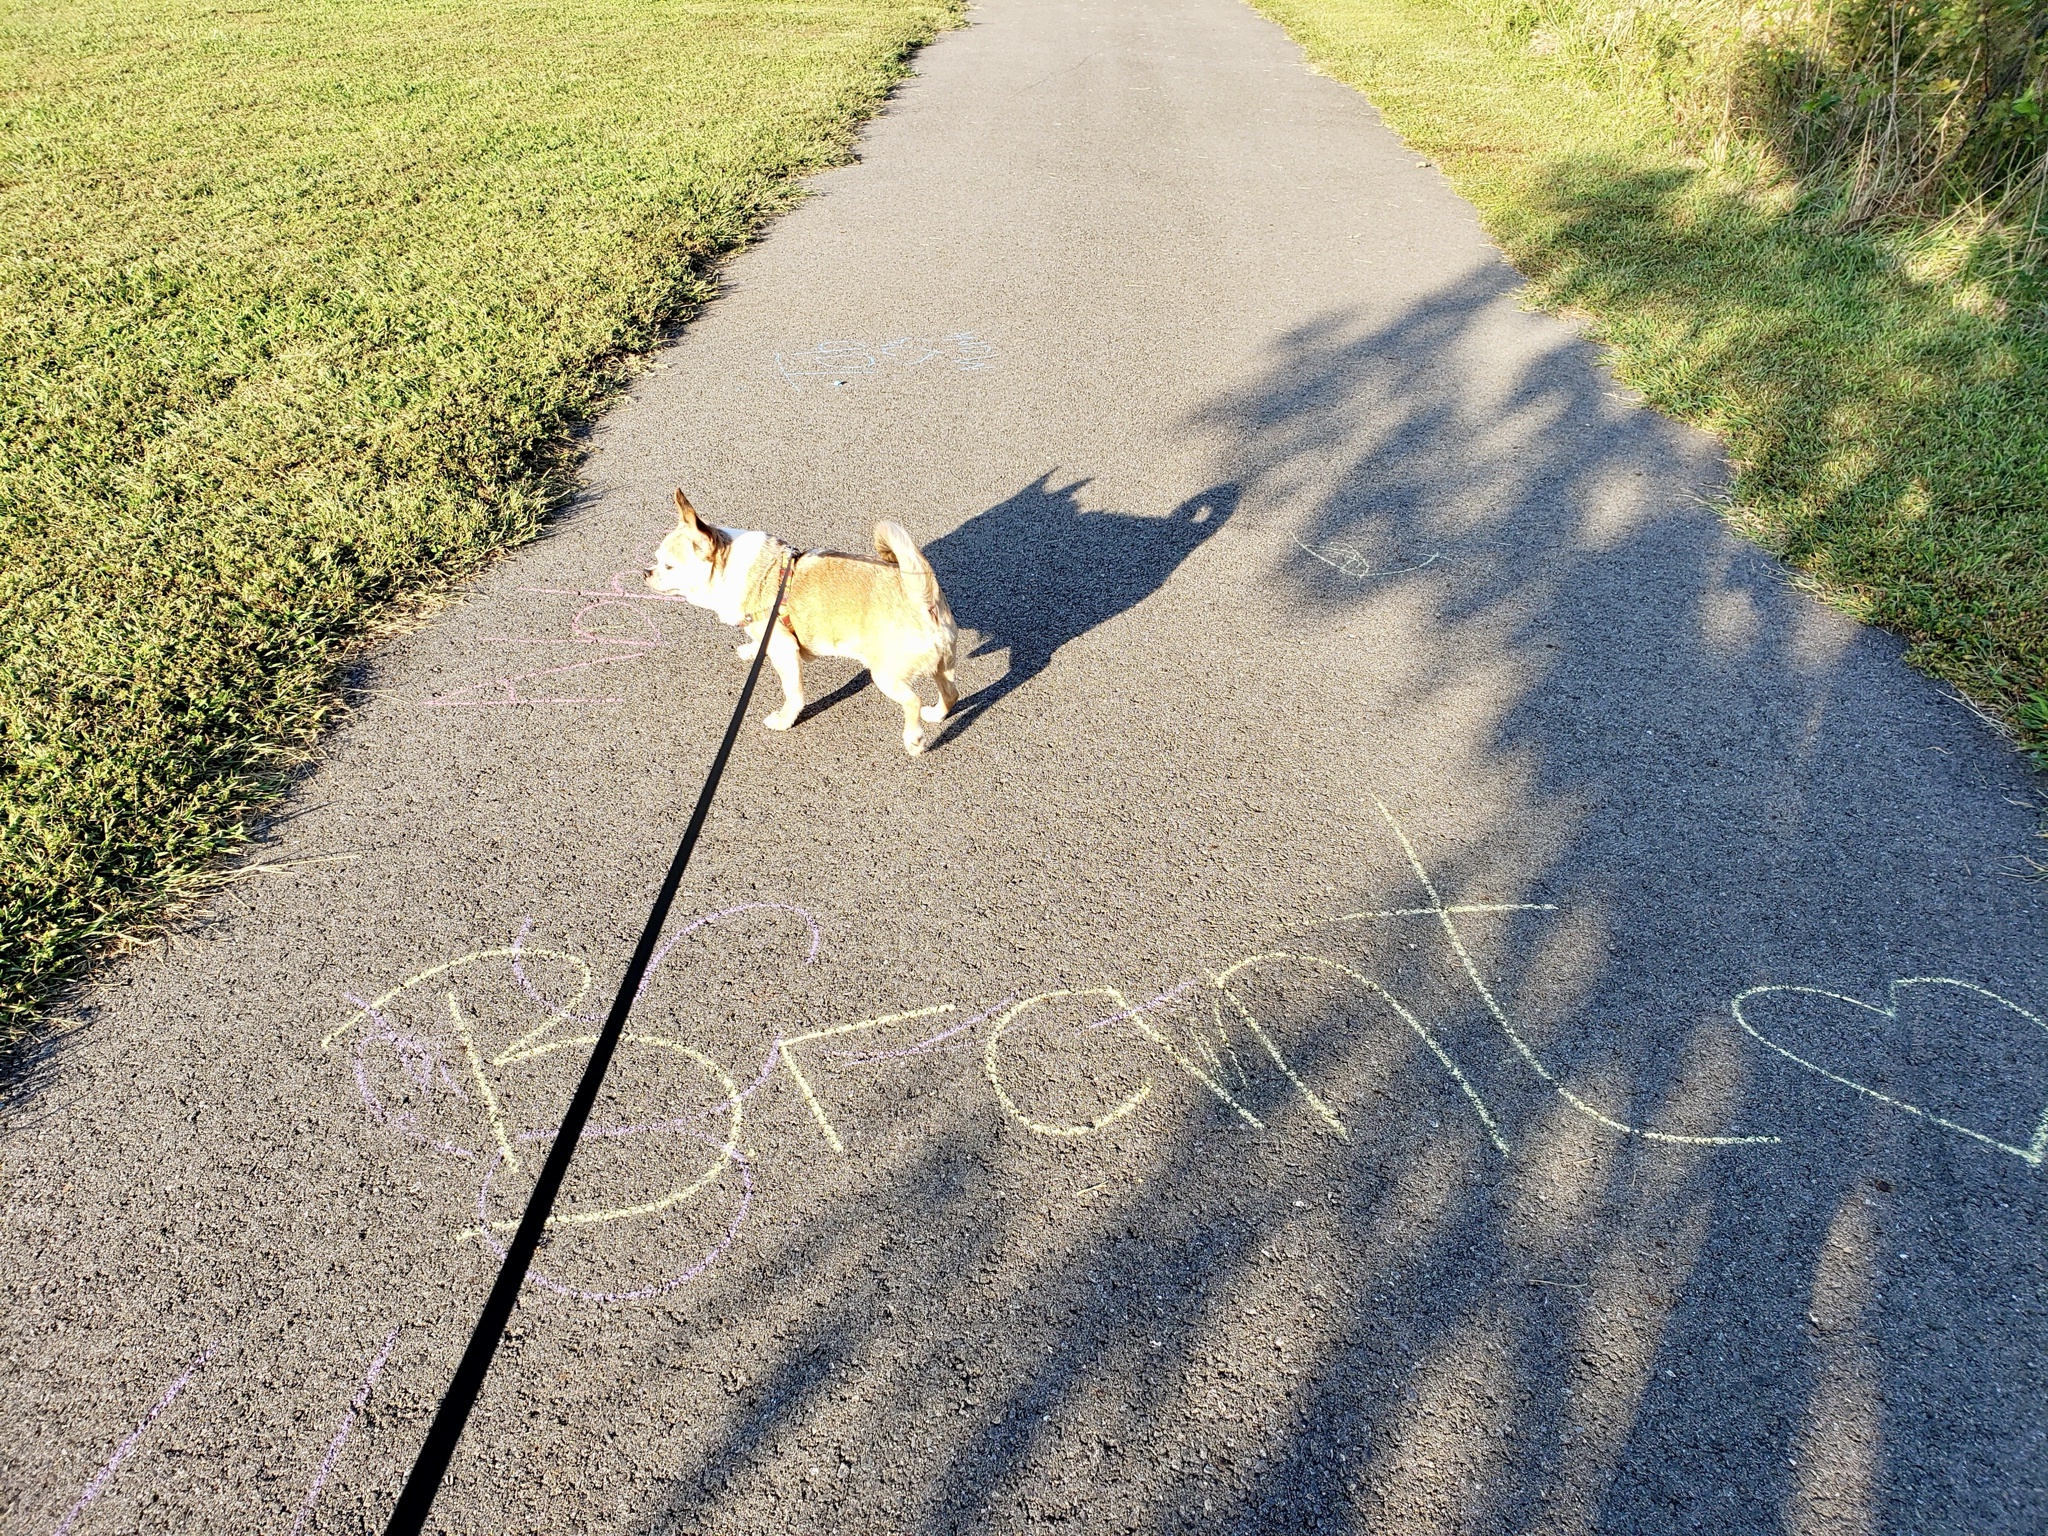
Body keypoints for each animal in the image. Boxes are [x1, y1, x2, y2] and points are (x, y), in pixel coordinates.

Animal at [647, 487, 958, 757]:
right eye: (656, 559)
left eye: (669, 566)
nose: (645, 572)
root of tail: (922, 598)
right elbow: (757, 640)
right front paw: (751, 649)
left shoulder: (784, 649)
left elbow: (793, 692)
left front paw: (785, 720)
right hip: (942, 665)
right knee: (951, 692)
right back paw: (936, 713)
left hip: (885, 675)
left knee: (913, 700)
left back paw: (914, 739)